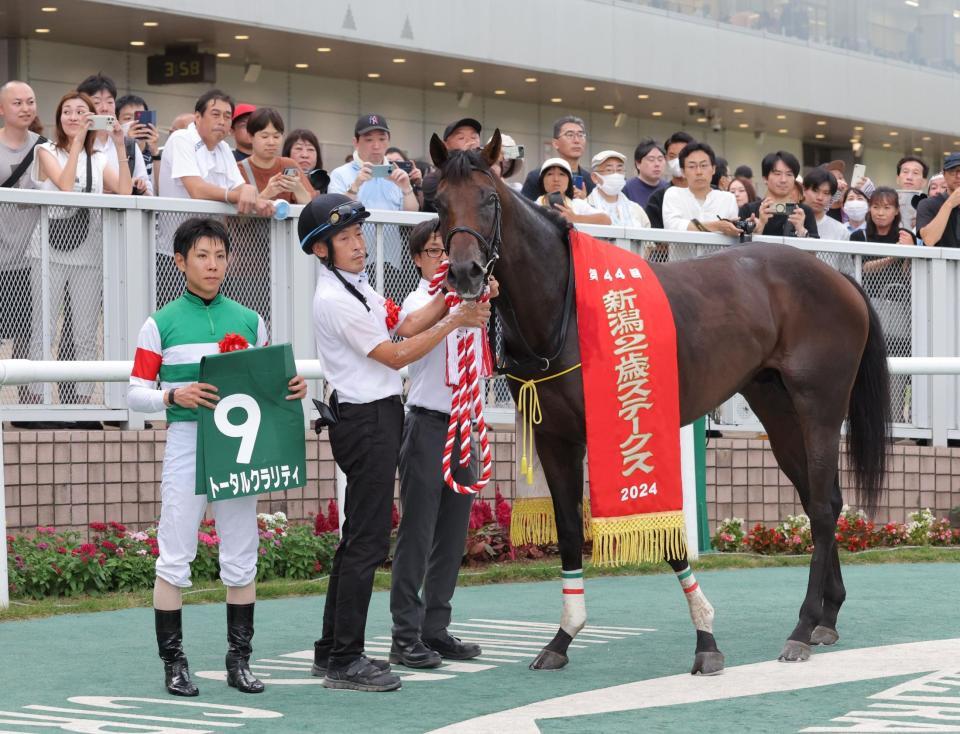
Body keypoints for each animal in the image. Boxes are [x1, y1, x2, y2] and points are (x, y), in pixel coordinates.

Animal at [430, 134, 892, 680]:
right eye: (439, 202)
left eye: (487, 199)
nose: (464, 273)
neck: (568, 308)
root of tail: (838, 278)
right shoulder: (556, 438)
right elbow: (569, 529)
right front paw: (562, 638)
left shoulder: (629, 430)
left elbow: (665, 538)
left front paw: (706, 639)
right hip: (777, 408)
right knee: (822, 498)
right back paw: (827, 615)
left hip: (819, 403)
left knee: (821, 506)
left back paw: (801, 628)